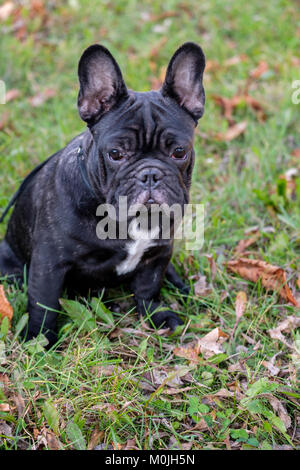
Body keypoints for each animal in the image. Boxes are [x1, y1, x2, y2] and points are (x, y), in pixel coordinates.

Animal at [0, 43, 205, 346]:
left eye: (179, 152)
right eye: (116, 154)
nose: (150, 174)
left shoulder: (157, 254)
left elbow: (148, 288)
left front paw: (157, 316)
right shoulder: (49, 262)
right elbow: (44, 302)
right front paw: (39, 338)